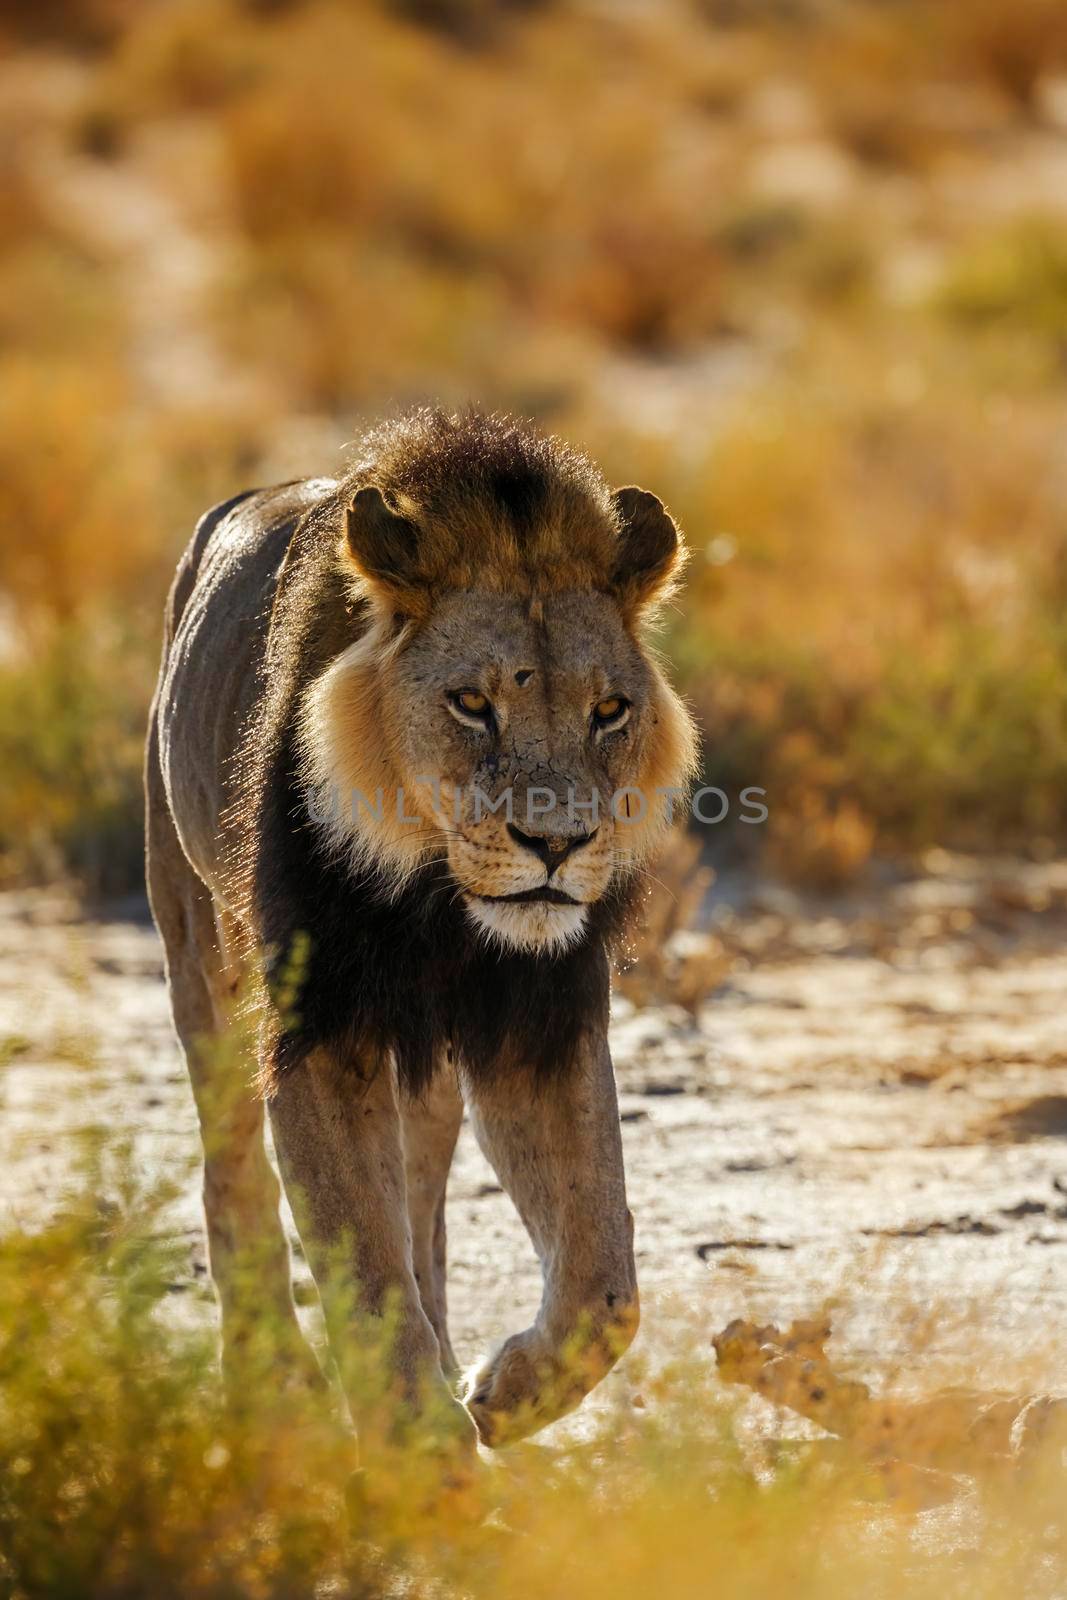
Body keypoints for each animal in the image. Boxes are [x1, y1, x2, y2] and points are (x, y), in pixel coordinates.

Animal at [147, 409, 700, 1452]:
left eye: (608, 711)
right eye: (471, 704)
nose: (556, 844)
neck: (441, 903)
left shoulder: (540, 1019)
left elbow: (603, 1280)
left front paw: (503, 1396)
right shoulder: (319, 1027)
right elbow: (363, 1267)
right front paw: (425, 1458)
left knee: (423, 1198)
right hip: (200, 949)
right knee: (232, 1169)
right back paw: (271, 1381)